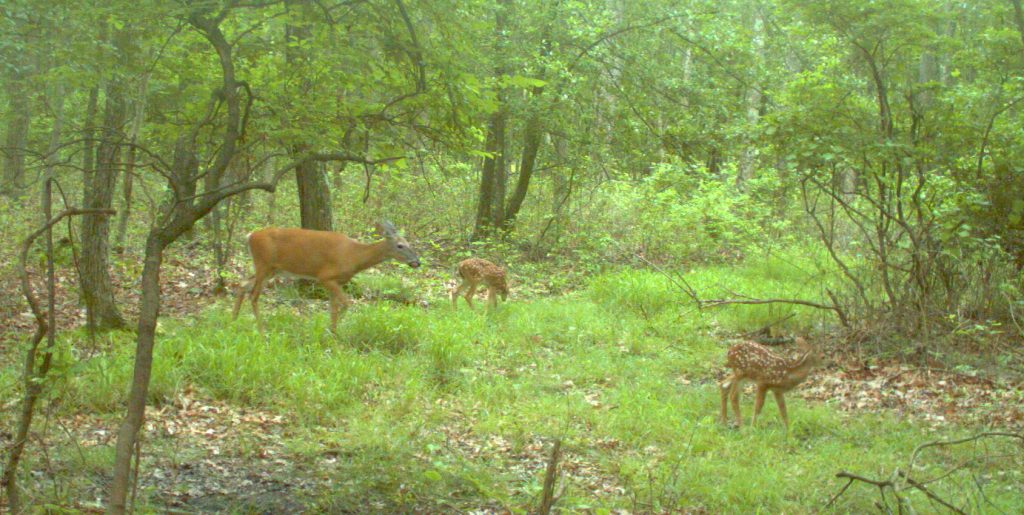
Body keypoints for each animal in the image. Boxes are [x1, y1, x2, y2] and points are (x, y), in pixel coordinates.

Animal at [233, 219, 419, 331]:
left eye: (409, 243)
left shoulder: (337, 282)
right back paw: (261, 330)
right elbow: (346, 304)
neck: (354, 255)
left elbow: (333, 309)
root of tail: (250, 236)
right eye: (400, 245)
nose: (417, 261)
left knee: (242, 284)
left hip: (270, 269)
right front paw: (332, 330)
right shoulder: (325, 277)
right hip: (263, 264)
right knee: (253, 295)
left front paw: (332, 333)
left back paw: (233, 320)